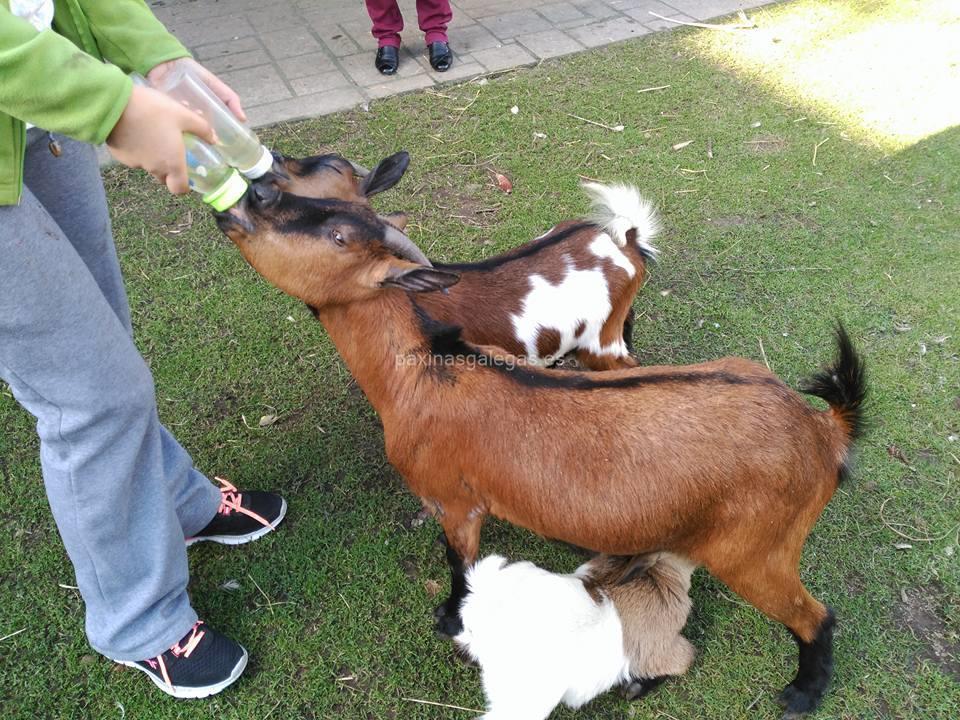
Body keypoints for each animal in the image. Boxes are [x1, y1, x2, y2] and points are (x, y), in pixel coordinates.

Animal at [216, 186, 872, 716]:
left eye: (337, 234)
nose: (249, 198)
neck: (422, 374)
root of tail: (821, 428)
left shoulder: (457, 503)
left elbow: (459, 566)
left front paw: (450, 620)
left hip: (757, 550)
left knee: (816, 616)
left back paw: (801, 695)